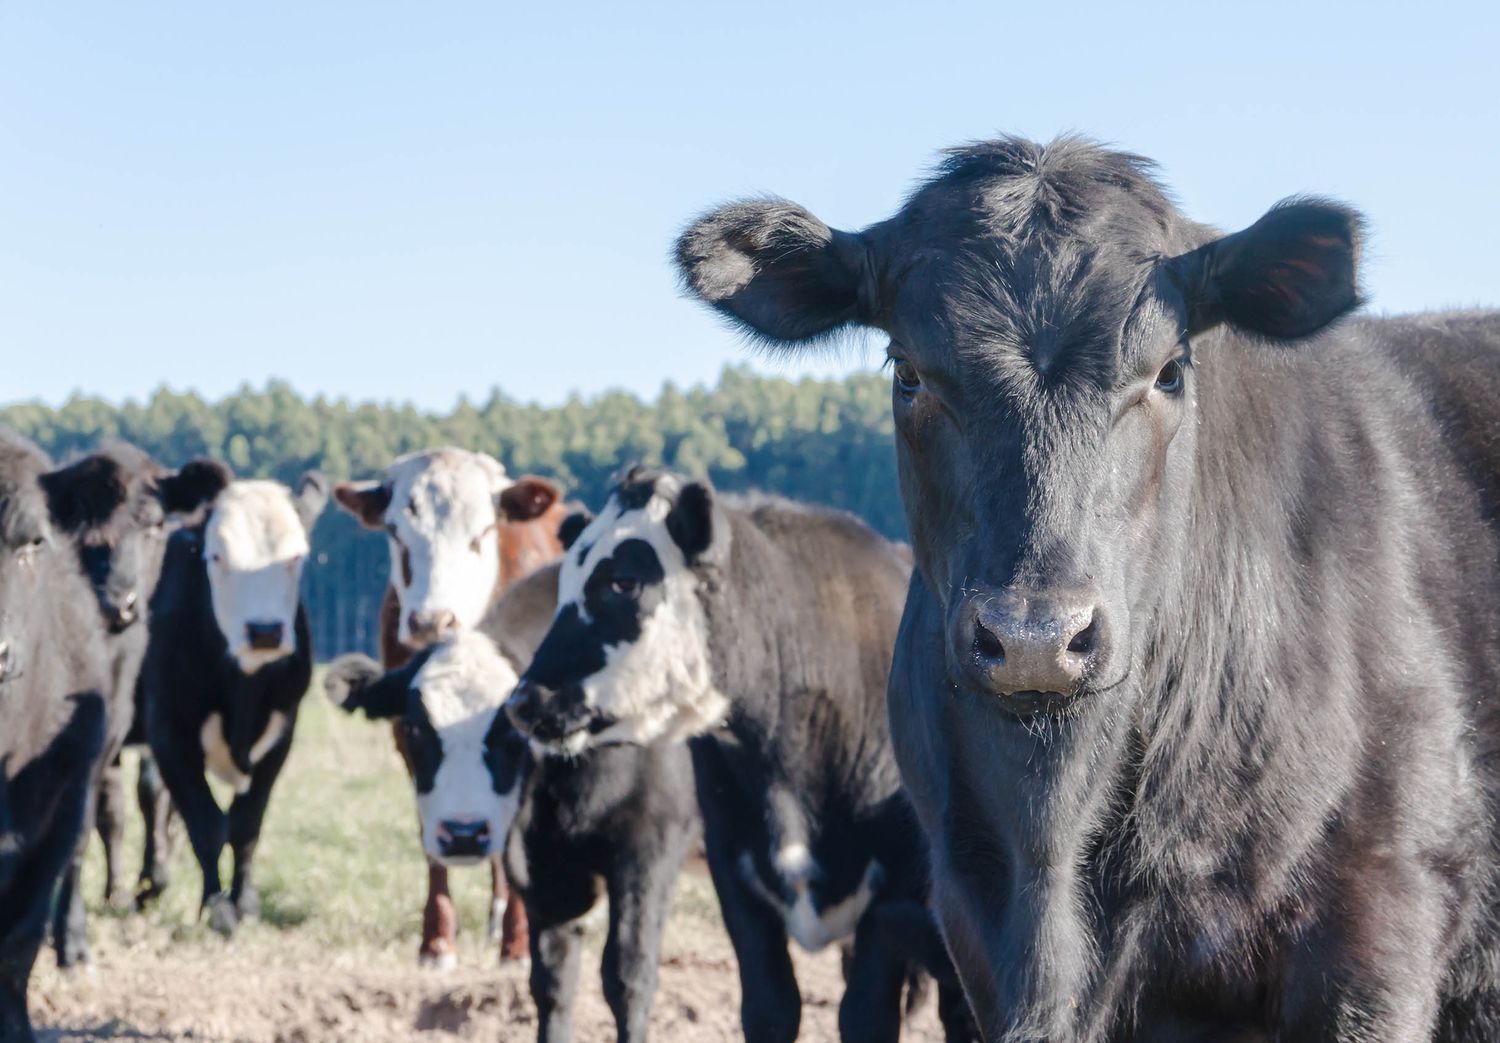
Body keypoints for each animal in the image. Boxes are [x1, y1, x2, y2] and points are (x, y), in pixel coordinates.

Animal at [327, 558, 696, 1043]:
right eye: (412, 727)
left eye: (512, 730)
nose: (464, 833)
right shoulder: (546, 872)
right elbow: (553, 982)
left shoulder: (649, 846)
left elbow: (628, 976)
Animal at [334, 447, 567, 972]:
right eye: (397, 532)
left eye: (481, 533)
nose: (430, 620)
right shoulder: (410, 738)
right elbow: (432, 838)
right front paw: (437, 942)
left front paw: (517, 944)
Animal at [504, 471, 972, 1043]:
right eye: (564, 584)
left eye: (624, 582)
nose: (526, 701)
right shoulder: (732, 866)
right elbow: (770, 1008)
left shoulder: (897, 889)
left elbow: (864, 1014)